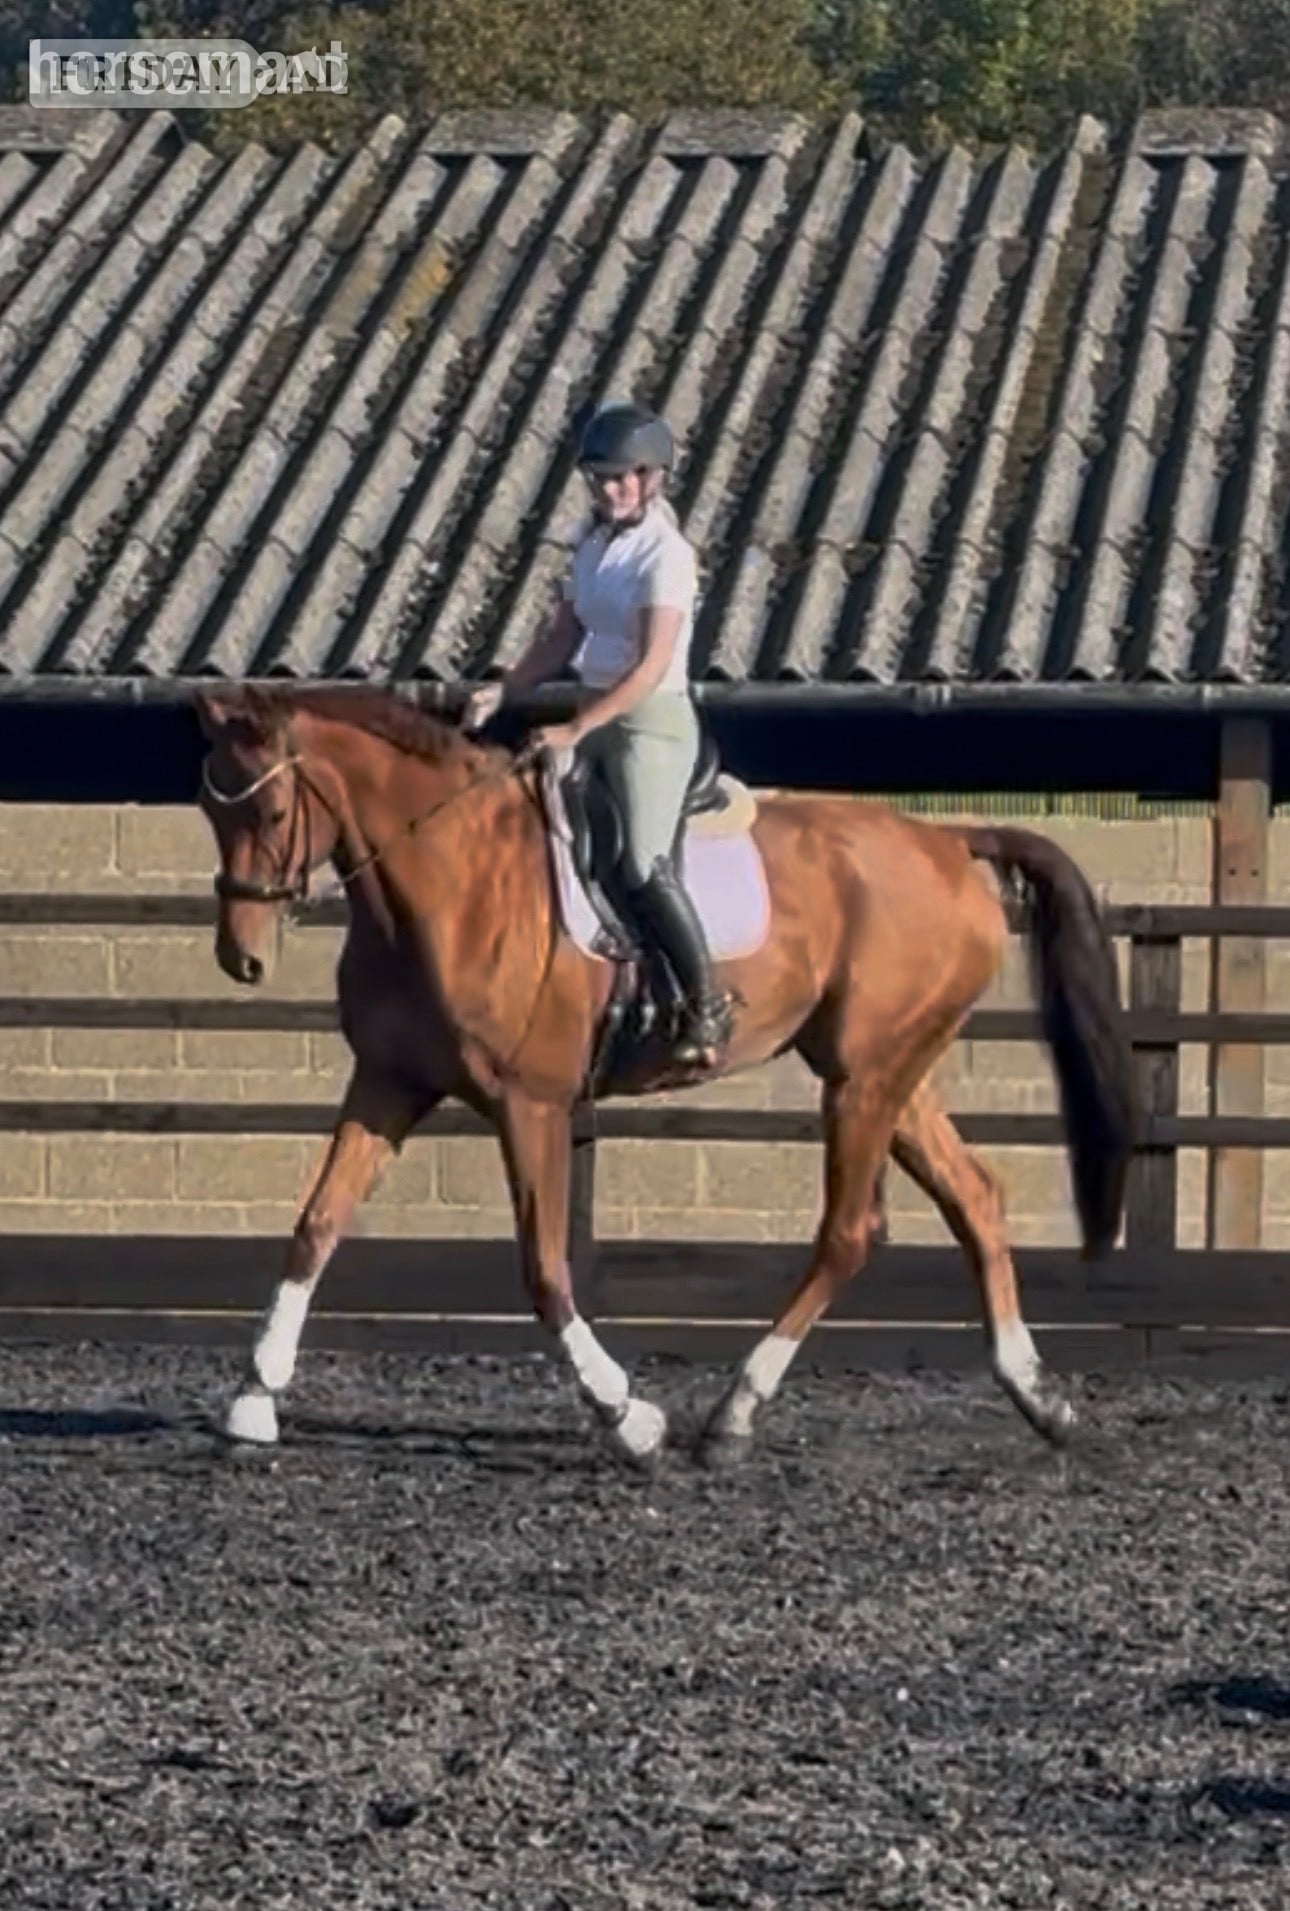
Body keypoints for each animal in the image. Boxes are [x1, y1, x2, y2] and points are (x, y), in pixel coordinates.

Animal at [193, 685, 1134, 1468]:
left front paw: (627, 1417)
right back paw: (1036, 1395)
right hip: (883, 1069)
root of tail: (944, 838)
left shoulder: (530, 1103)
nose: (241, 958)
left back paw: (734, 1414)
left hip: (865, 1080)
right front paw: (252, 1401)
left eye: (270, 808)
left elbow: (545, 1268)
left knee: (849, 1233)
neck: (448, 880)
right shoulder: (389, 1082)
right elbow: (315, 1225)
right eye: (207, 807)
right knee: (974, 1195)